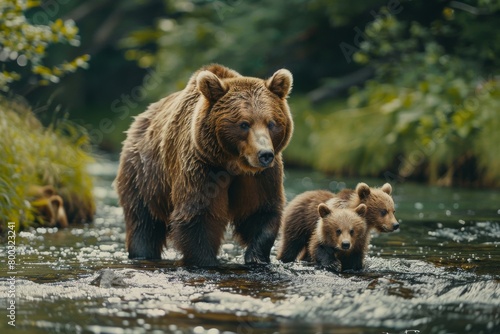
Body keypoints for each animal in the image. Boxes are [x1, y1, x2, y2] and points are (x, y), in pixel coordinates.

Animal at [115, 64, 292, 268]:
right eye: (244, 124)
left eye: (271, 123)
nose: (265, 155)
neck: (232, 163)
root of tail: (139, 120)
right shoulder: (202, 166)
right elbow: (199, 214)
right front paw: (206, 261)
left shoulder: (260, 176)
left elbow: (260, 210)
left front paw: (256, 257)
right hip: (143, 175)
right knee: (143, 221)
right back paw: (142, 253)